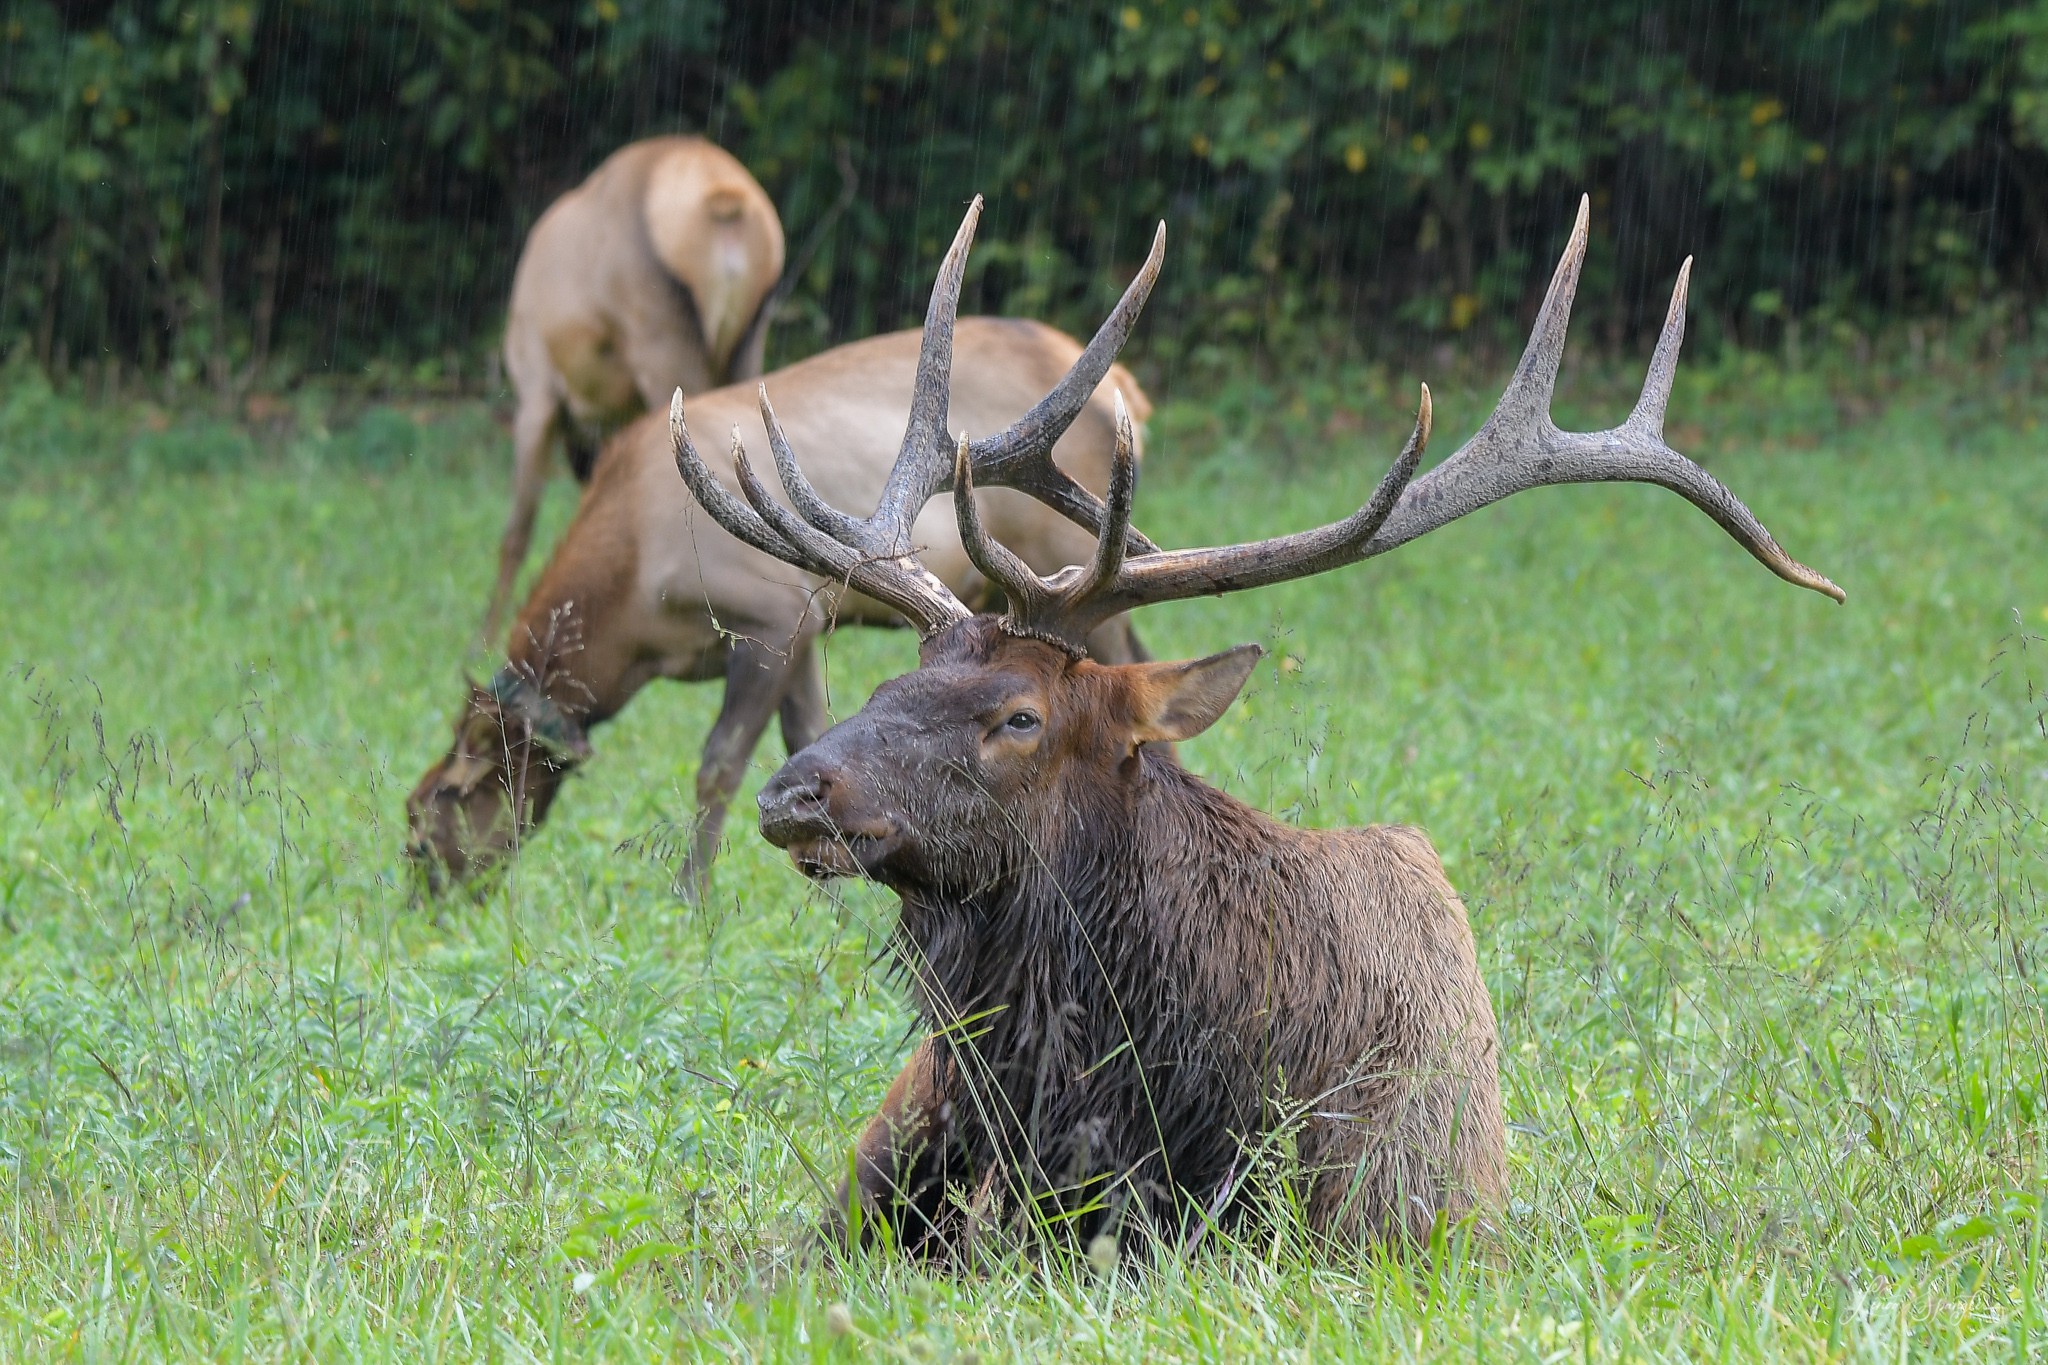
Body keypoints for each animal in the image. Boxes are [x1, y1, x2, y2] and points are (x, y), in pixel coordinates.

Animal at [407, 296, 1163, 896]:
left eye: (433, 806)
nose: (424, 896)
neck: (633, 609)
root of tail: (1131, 388)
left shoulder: (769, 614)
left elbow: (720, 762)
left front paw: (693, 896)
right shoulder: (810, 618)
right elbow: (804, 738)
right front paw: (833, 890)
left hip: (1066, 558)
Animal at [491, 136, 786, 638]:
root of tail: (726, 202)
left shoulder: (536, 388)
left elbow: (516, 529)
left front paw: (481, 640)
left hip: (664, 347)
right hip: (749, 341)